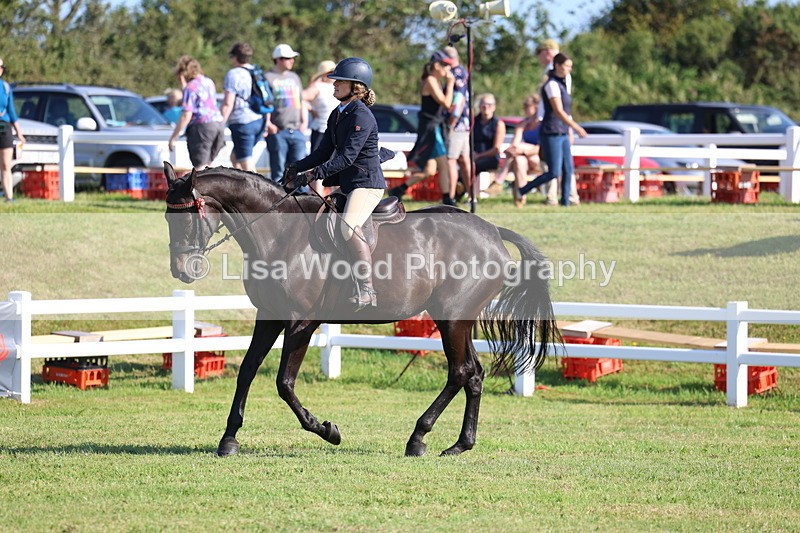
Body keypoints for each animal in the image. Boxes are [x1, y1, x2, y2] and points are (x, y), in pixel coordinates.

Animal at [163, 162, 559, 457]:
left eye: (186, 217)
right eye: (167, 218)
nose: (183, 271)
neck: (279, 235)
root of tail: (491, 231)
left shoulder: (301, 323)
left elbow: (284, 383)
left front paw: (327, 430)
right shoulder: (269, 316)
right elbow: (247, 371)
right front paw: (229, 439)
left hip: (451, 318)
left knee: (459, 372)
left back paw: (417, 438)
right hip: (458, 321)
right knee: (474, 374)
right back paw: (460, 444)